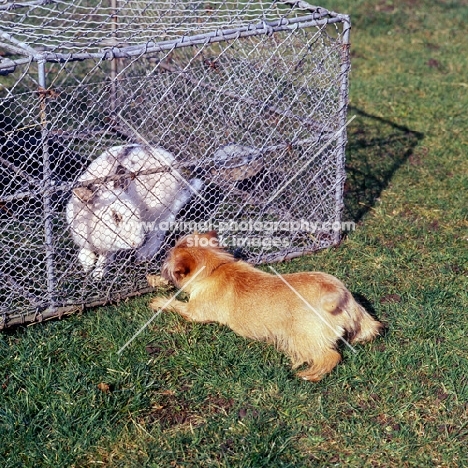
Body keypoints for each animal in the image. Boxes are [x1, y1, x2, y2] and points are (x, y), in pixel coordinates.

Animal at [66, 144, 203, 278]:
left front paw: (98, 274)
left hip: (161, 210)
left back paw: (143, 254)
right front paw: (86, 265)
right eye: (115, 216)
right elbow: (86, 251)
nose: (137, 242)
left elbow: (105, 258)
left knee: (159, 231)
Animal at [148, 230, 382, 380]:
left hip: (302, 337)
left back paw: (310, 374)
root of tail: (338, 294)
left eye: (168, 258)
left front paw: (158, 300)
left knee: (331, 356)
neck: (216, 267)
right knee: (369, 330)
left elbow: (175, 304)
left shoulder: (194, 312)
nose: (160, 263)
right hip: (362, 319)